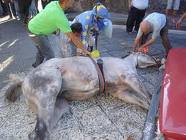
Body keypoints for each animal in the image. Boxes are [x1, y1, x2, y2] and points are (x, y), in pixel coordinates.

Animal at [2, 52, 159, 140]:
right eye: (149, 55)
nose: (159, 62)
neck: (128, 62)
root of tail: (23, 80)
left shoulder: (122, 92)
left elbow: (144, 102)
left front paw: (155, 121)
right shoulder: (130, 77)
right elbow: (148, 96)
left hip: (58, 106)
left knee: (40, 132)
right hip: (51, 85)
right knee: (40, 132)